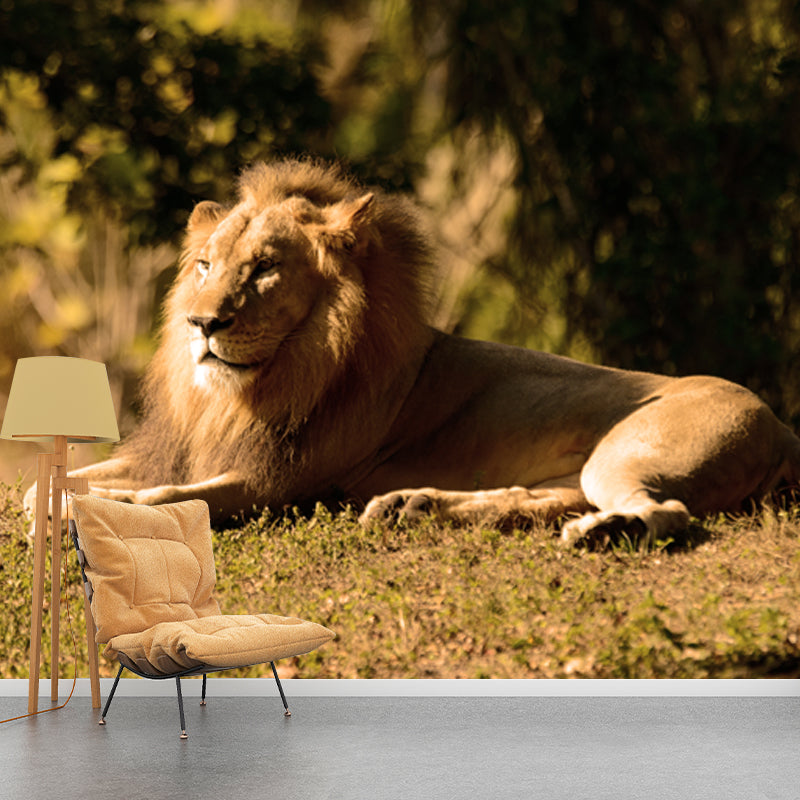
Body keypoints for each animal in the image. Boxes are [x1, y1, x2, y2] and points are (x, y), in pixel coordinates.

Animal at [42, 157, 800, 546]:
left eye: (263, 270)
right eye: (205, 264)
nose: (202, 323)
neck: (242, 392)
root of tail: (782, 425)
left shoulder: (284, 484)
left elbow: (179, 498)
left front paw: (101, 509)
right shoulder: (183, 451)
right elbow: (73, 475)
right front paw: (56, 493)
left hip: (629, 451)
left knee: (667, 513)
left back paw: (603, 534)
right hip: (576, 473)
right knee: (539, 500)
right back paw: (416, 507)